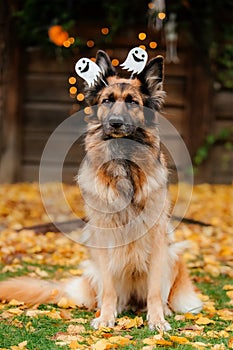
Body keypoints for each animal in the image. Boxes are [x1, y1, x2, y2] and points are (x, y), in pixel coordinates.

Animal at [0, 50, 201, 330]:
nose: (115, 123)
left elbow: (154, 291)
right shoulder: (103, 236)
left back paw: (163, 310)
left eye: (133, 102)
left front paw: (157, 320)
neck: (123, 162)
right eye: (107, 100)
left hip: (173, 255)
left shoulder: (158, 238)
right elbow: (108, 289)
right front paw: (106, 317)